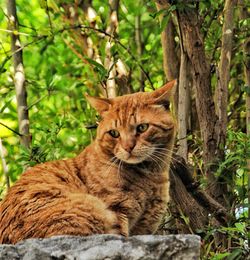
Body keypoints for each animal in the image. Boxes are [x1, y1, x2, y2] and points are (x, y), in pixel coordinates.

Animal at [0, 79, 176, 244]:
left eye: (142, 128)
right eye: (114, 133)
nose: (128, 147)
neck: (150, 176)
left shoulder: (144, 226)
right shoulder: (117, 211)